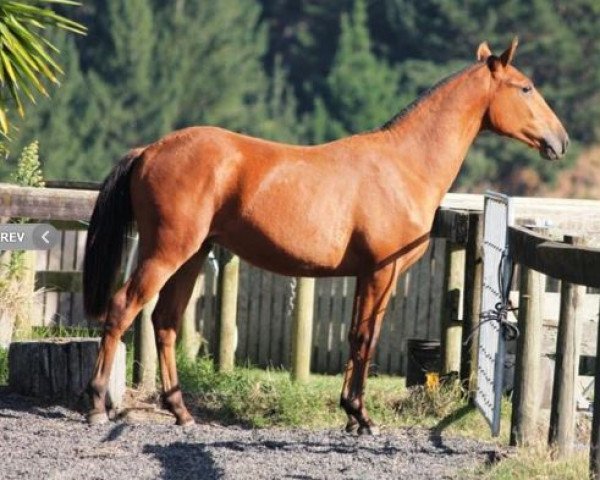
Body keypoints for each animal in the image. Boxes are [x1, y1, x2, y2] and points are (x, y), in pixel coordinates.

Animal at [83, 39, 568, 434]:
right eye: (525, 88)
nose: (560, 140)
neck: (403, 164)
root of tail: (149, 150)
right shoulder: (381, 272)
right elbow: (366, 338)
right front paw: (361, 416)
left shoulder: (366, 275)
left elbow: (355, 336)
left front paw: (350, 415)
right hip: (166, 253)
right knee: (123, 308)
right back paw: (97, 405)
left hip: (192, 255)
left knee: (164, 321)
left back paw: (181, 411)